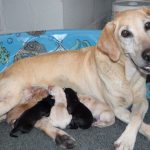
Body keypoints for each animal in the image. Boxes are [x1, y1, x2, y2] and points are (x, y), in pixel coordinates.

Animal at [0, 7, 150, 150]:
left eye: (147, 25)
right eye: (125, 33)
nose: (148, 54)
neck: (127, 73)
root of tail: (4, 71)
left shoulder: (143, 100)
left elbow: (136, 117)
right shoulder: (118, 109)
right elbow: (136, 120)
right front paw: (127, 140)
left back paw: (61, 137)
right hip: (11, 99)